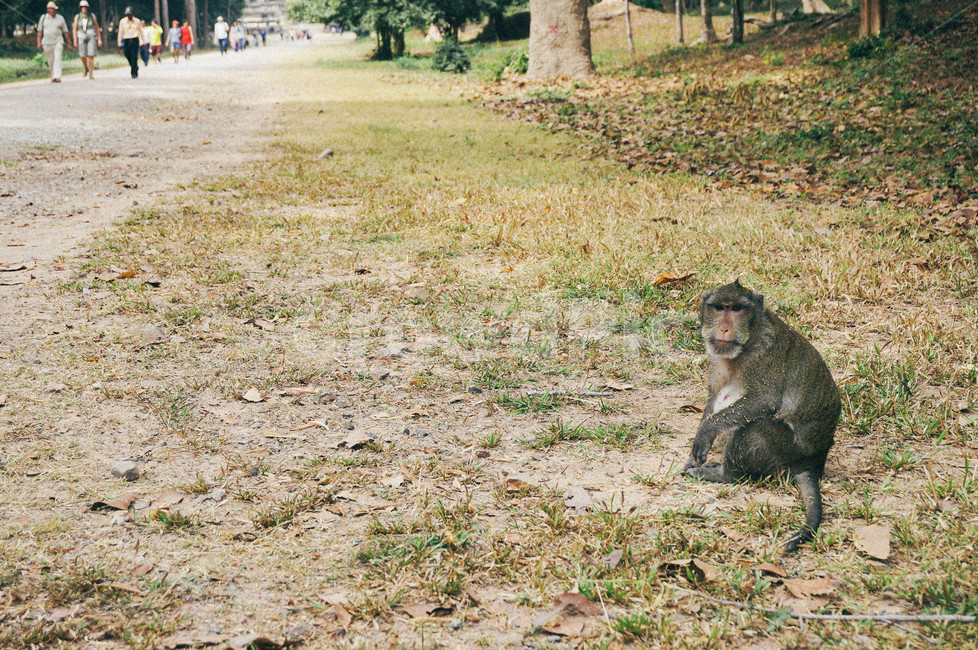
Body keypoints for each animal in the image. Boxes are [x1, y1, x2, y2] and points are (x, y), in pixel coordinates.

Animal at [683, 280, 841, 552]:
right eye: (718, 308)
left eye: (736, 309)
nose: (724, 328)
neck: (747, 343)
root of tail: (812, 463)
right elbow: (714, 396)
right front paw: (699, 449)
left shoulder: (764, 355)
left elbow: (763, 400)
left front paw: (705, 433)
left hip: (787, 452)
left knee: (753, 430)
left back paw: (724, 475)